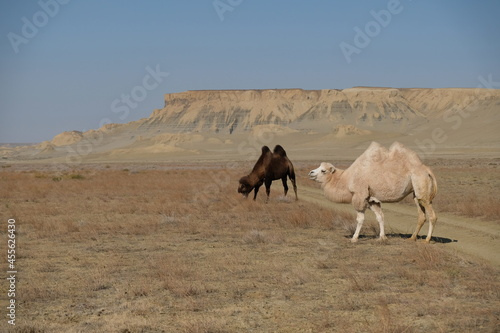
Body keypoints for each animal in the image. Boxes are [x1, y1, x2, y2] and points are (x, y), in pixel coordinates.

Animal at [308, 141, 438, 243]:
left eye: (323, 171)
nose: (310, 173)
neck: (346, 178)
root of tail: (427, 170)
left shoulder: (360, 196)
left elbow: (360, 219)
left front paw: (354, 238)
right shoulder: (371, 200)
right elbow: (380, 217)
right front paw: (382, 237)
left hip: (422, 187)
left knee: (432, 216)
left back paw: (427, 240)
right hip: (416, 194)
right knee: (421, 215)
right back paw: (412, 238)